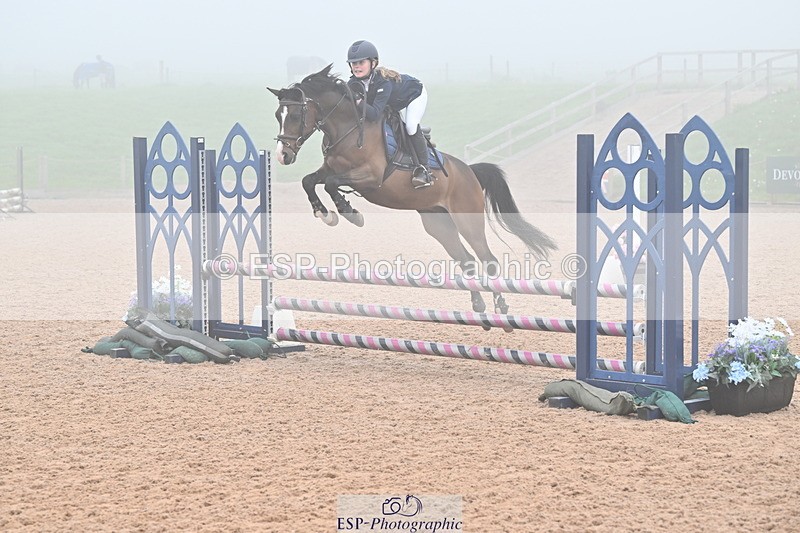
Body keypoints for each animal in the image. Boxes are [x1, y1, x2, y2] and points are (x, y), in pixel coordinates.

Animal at [267, 64, 556, 316]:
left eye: (295, 116)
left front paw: (349, 212)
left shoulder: (371, 178)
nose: (282, 155)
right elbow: (309, 181)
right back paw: (478, 305)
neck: (347, 128)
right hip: (438, 223)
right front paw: (325, 213)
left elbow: (331, 184)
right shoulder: (329, 169)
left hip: (467, 220)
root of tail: (470, 172)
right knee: (466, 260)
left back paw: (501, 307)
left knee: (488, 259)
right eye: (277, 116)